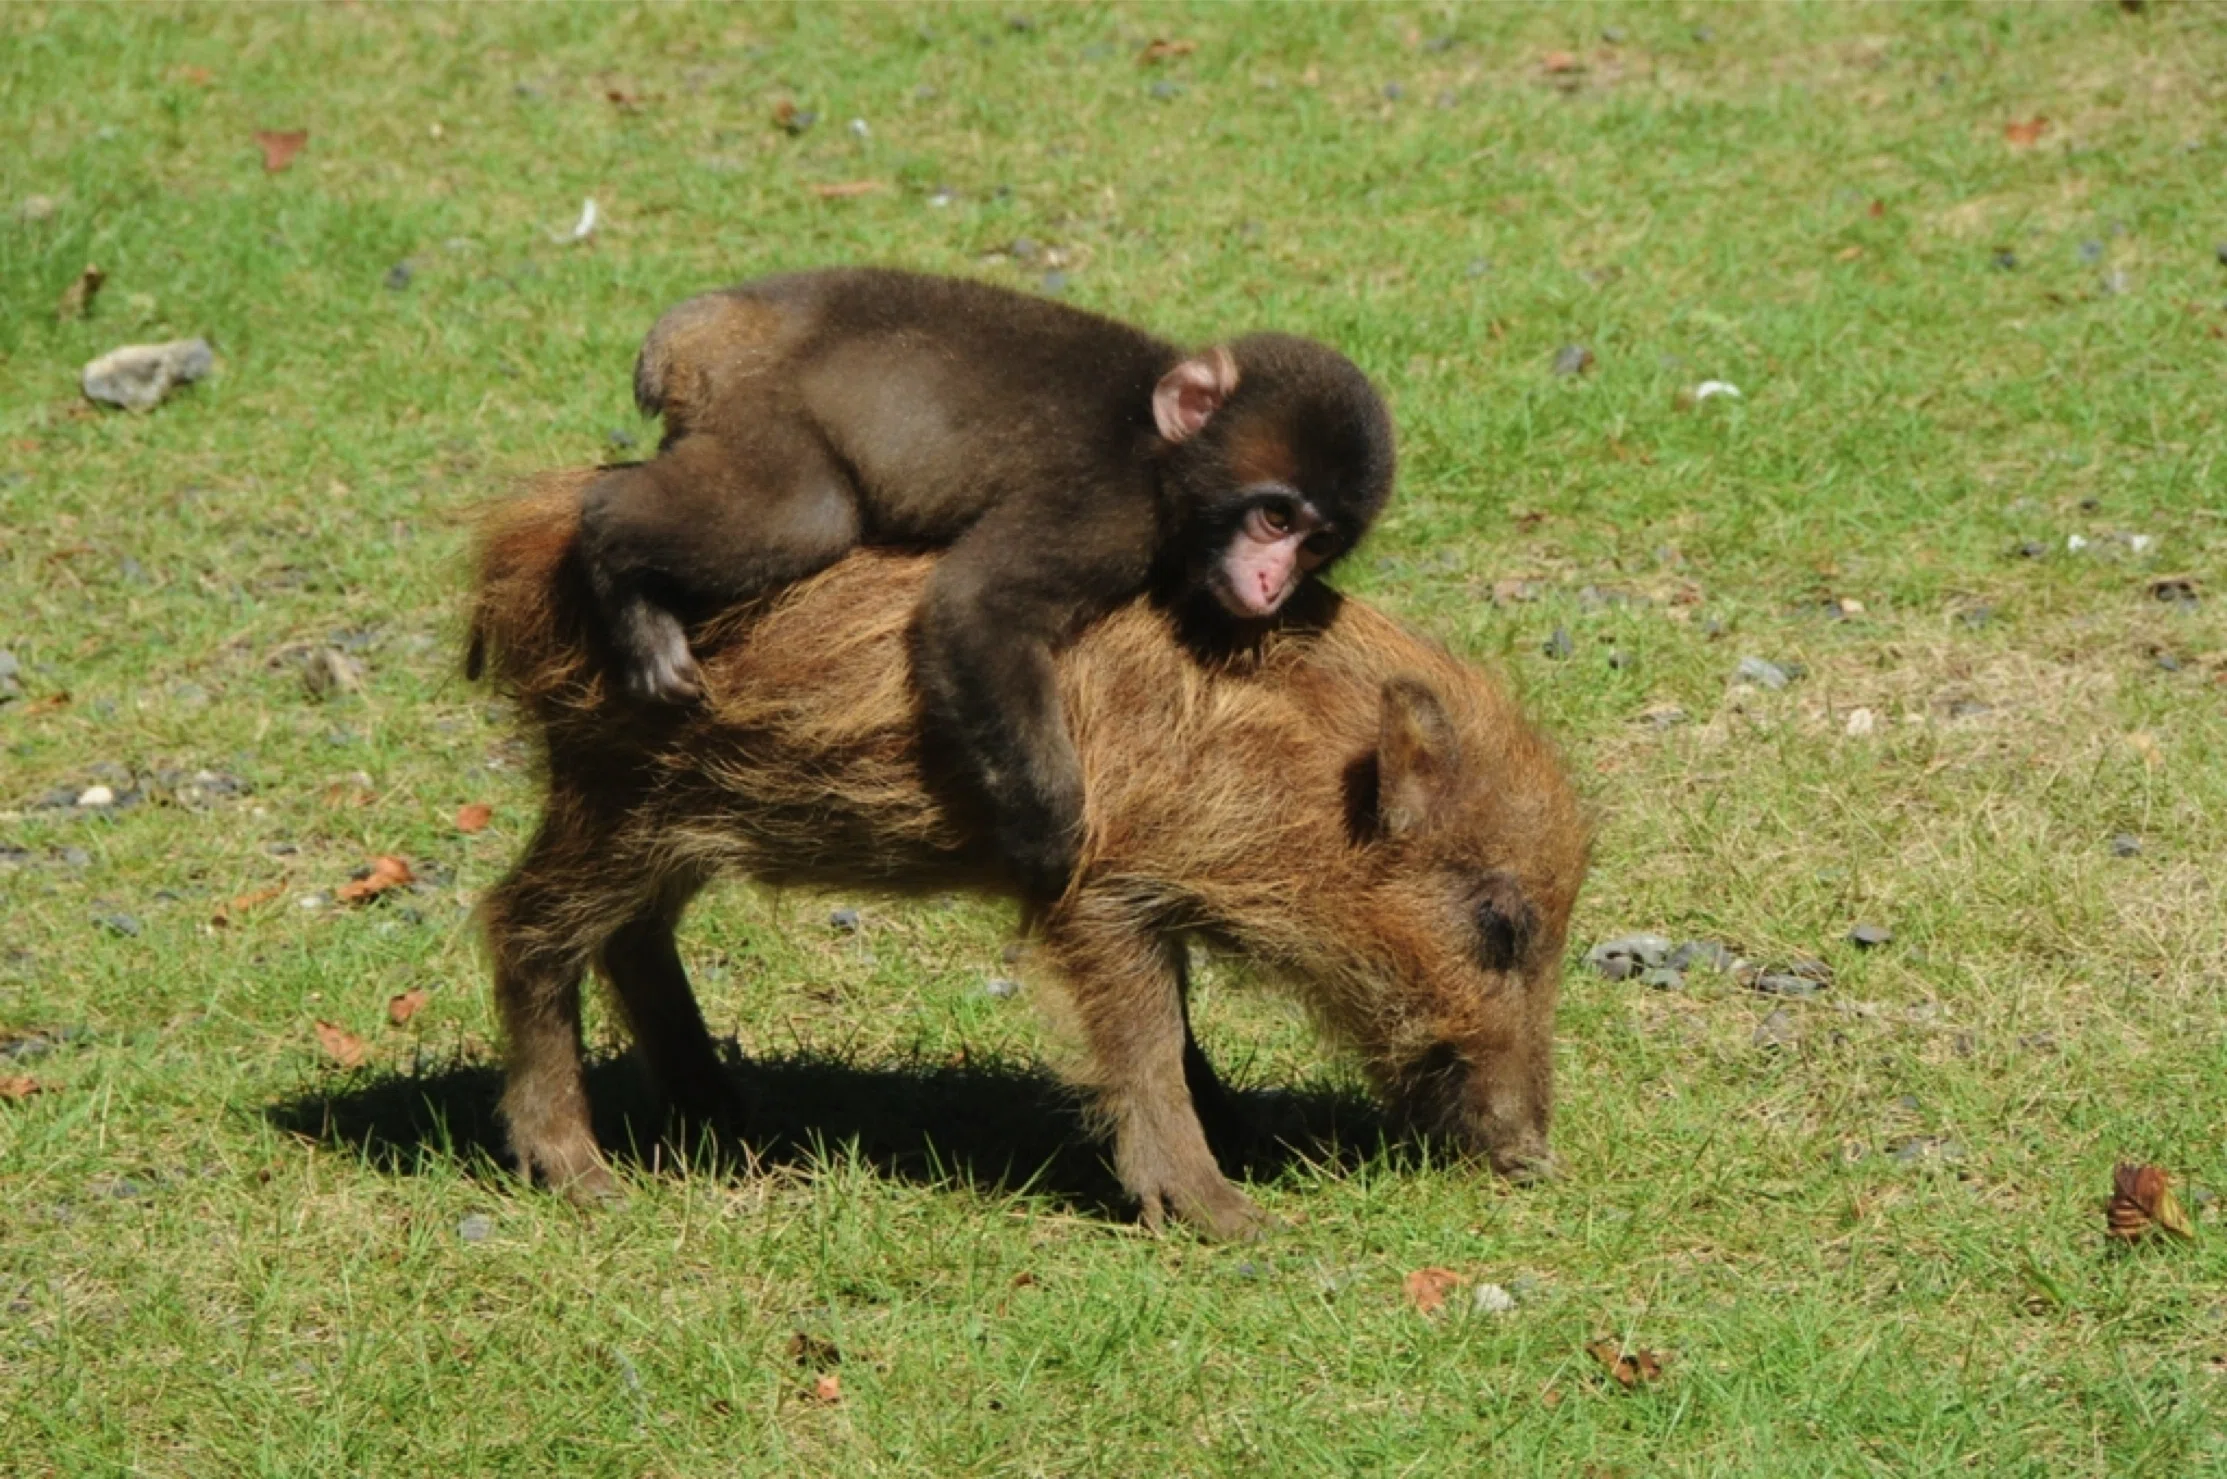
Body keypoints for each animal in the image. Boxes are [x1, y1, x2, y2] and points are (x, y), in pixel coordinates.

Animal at [469, 473, 1587, 1239]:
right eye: (1500, 920)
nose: (1533, 1156)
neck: (1280, 766)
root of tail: (509, 555)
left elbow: (1178, 1034)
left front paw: (1241, 1145)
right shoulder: (1099, 892)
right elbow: (1146, 1045)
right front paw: (1233, 1219)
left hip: (674, 819)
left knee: (633, 940)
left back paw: (735, 1127)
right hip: (614, 795)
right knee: (523, 926)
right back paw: (584, 1177)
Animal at [574, 268, 1397, 901]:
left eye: (1315, 543)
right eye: (1274, 517)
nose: (1271, 582)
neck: (1158, 450)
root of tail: (711, 320)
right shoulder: (1104, 507)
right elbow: (977, 606)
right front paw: (1051, 830)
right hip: (753, 405)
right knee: (803, 515)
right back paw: (614, 563)